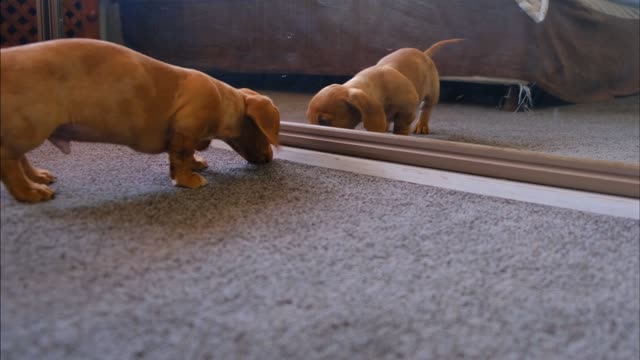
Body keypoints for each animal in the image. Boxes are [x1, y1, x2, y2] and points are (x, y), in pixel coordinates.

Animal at [0, 40, 280, 202]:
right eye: (263, 133)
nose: (269, 159)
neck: (223, 99)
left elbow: (186, 155)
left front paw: (196, 163)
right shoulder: (185, 130)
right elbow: (181, 157)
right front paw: (188, 180)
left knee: (19, 158)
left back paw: (37, 177)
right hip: (30, 126)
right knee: (8, 160)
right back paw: (29, 191)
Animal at [308, 38, 462, 135]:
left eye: (324, 122)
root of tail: (424, 53)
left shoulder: (407, 111)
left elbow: (401, 126)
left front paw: (399, 134)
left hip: (432, 94)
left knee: (426, 109)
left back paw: (422, 125)